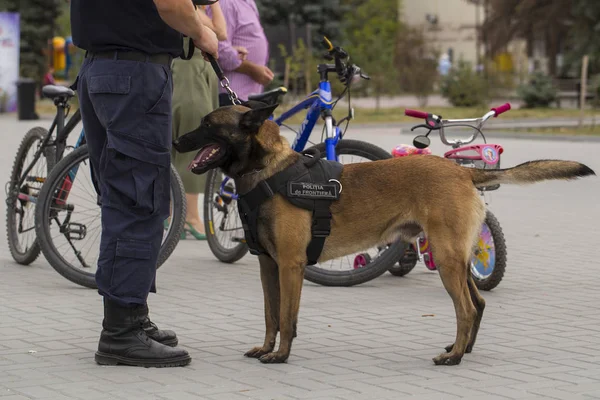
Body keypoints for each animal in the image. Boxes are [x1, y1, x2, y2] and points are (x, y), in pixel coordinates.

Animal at [173, 101, 596, 366]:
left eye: (208, 124)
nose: (175, 140)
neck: (269, 174)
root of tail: (462, 171)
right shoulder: (268, 267)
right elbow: (270, 316)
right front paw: (266, 349)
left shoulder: (291, 266)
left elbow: (288, 318)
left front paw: (281, 355)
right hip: (456, 260)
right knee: (478, 303)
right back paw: (463, 349)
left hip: (446, 259)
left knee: (466, 307)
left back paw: (454, 356)